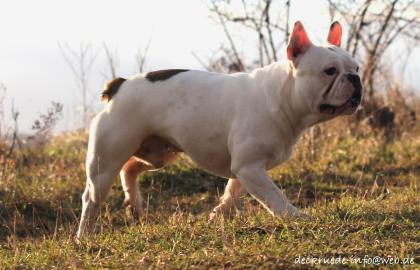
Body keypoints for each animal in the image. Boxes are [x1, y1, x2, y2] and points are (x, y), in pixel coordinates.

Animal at [78, 21, 360, 238]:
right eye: (330, 71)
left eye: (356, 67)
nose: (355, 79)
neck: (282, 96)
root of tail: (120, 85)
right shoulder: (250, 167)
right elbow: (275, 196)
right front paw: (296, 217)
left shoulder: (245, 169)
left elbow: (231, 194)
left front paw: (216, 215)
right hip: (105, 162)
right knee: (91, 198)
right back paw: (85, 236)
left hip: (158, 153)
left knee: (130, 167)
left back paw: (134, 204)